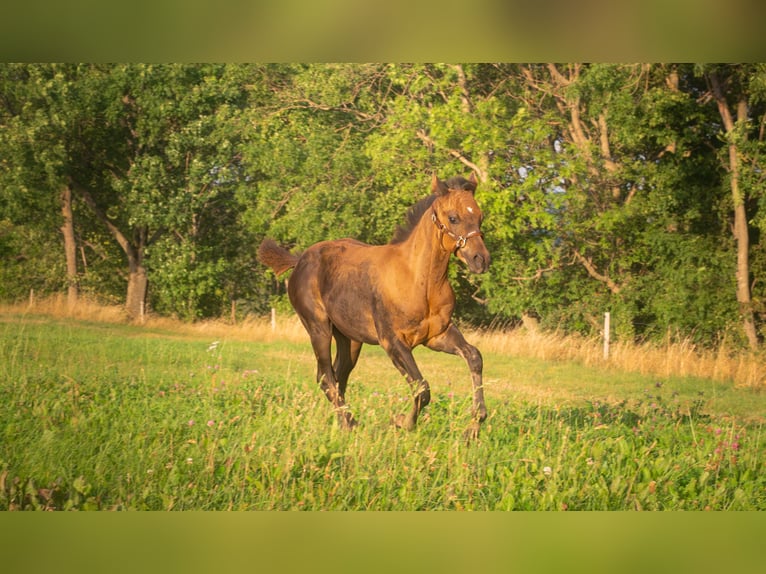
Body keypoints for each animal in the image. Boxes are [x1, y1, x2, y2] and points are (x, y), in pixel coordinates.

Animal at [257, 173, 490, 438]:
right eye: (453, 218)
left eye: (480, 216)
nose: (481, 260)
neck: (419, 280)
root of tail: (300, 260)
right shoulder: (392, 341)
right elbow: (422, 388)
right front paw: (401, 422)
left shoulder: (437, 335)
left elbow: (474, 356)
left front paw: (474, 425)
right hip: (318, 329)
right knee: (325, 377)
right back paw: (350, 423)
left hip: (350, 340)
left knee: (338, 376)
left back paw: (343, 423)